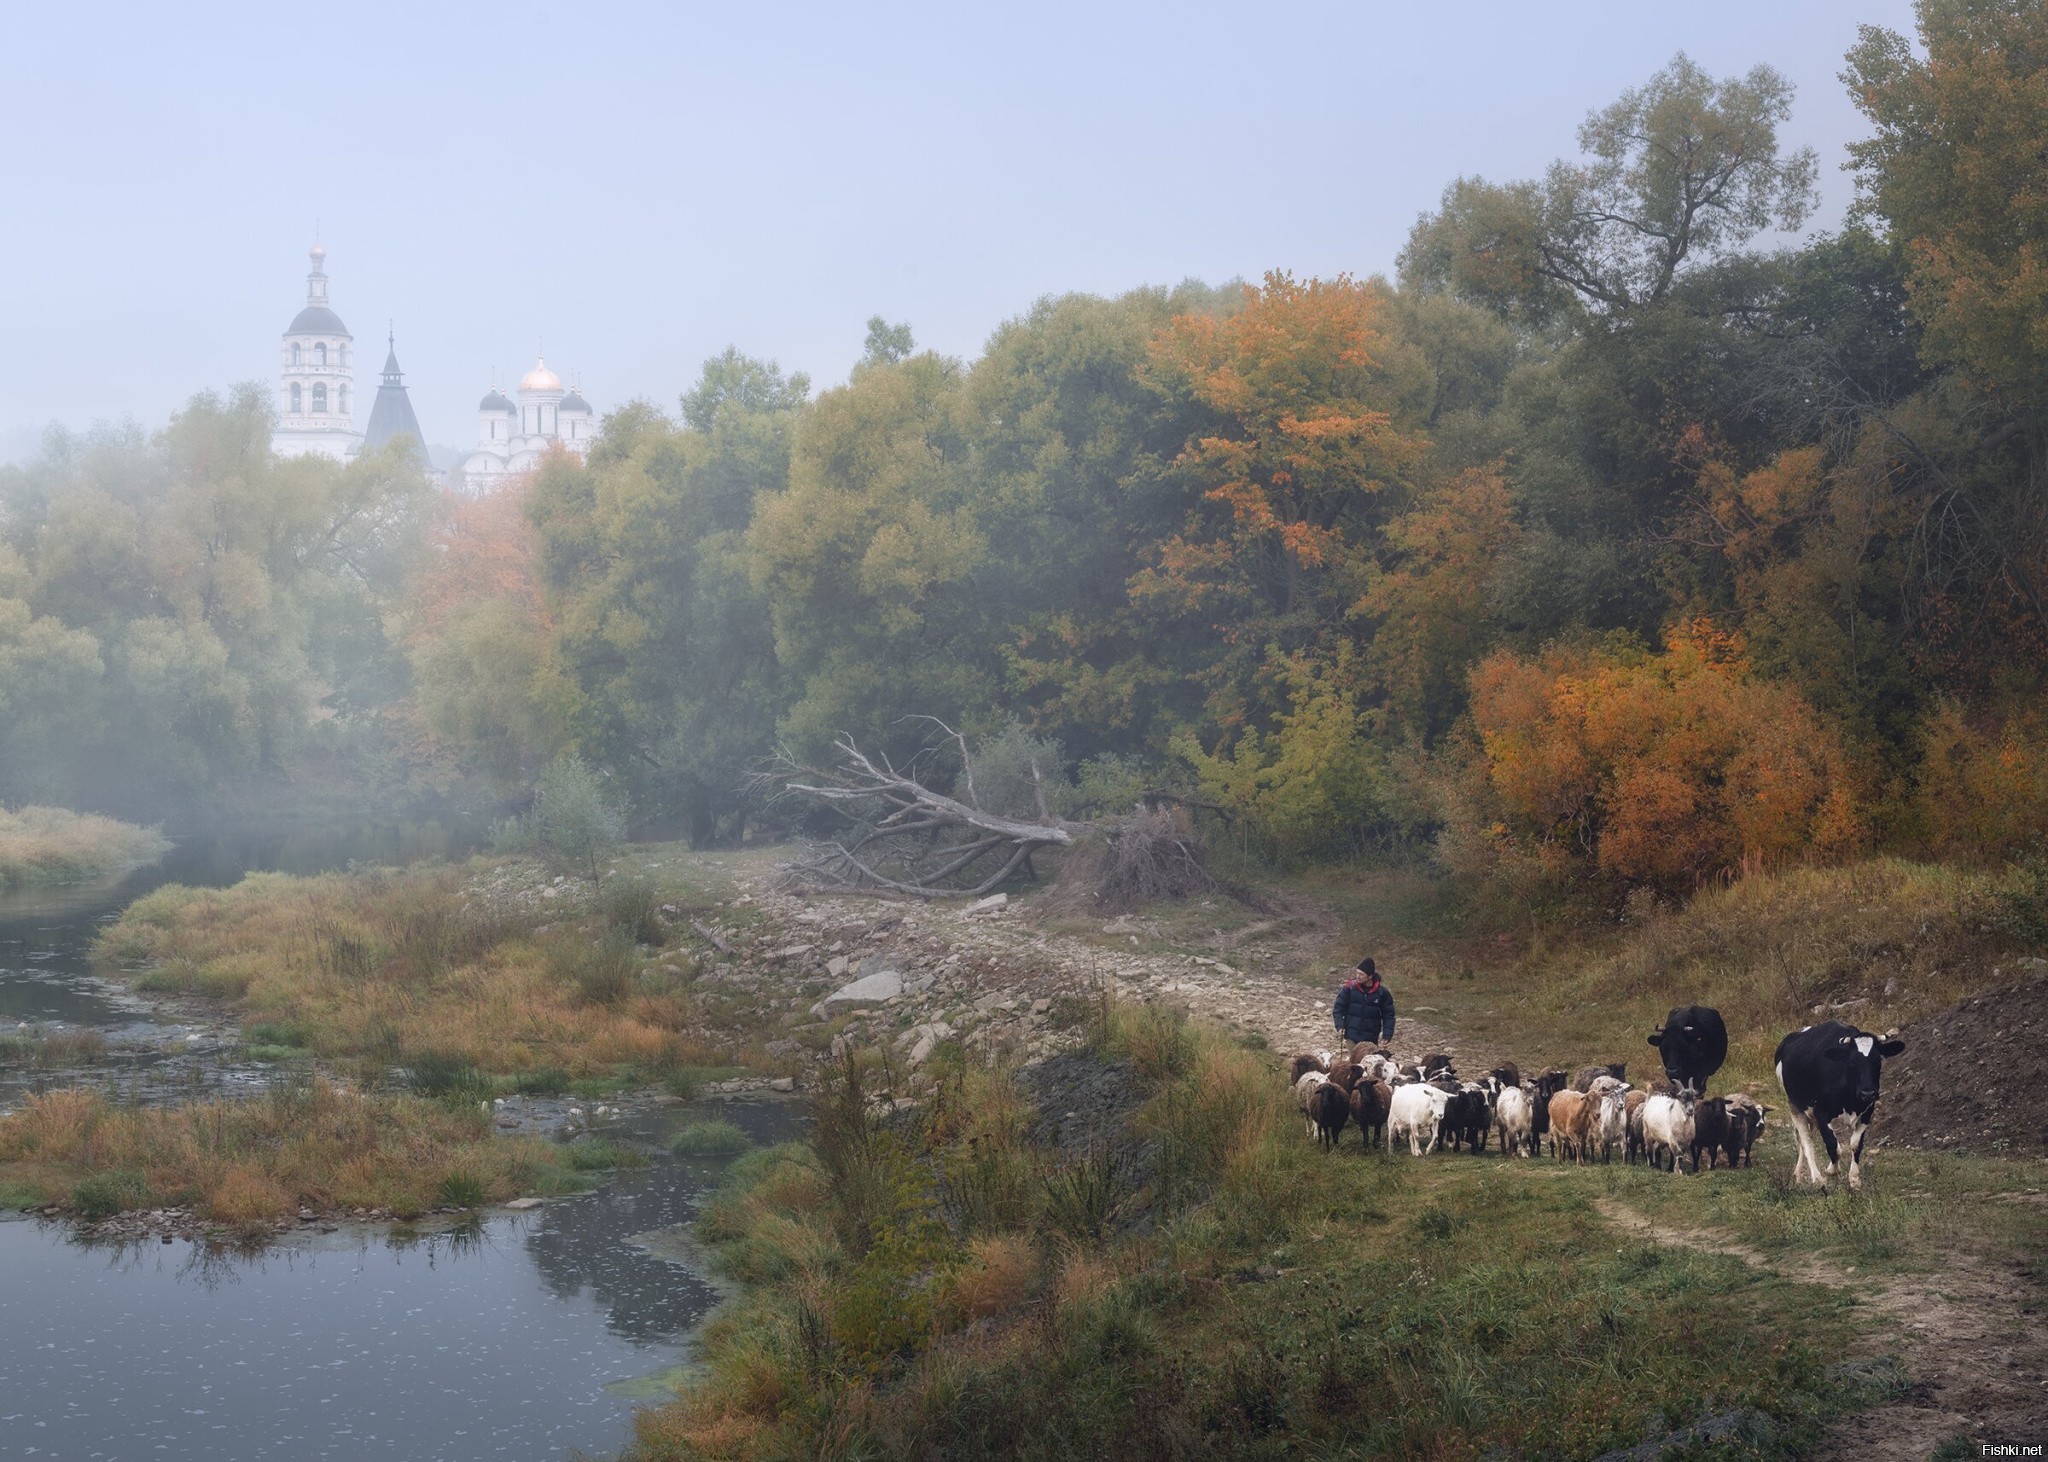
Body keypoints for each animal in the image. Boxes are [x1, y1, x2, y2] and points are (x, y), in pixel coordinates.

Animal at [1777, 1015, 1900, 1187]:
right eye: (1852, 1062)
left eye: (1878, 1061)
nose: (1867, 1093)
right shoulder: (1821, 1113)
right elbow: (1833, 1146)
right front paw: (1832, 1170)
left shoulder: (1867, 1112)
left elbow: (1855, 1145)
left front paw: (1854, 1178)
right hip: (1794, 1105)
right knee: (1806, 1141)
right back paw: (1816, 1177)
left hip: (1809, 1114)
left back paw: (1799, 1175)